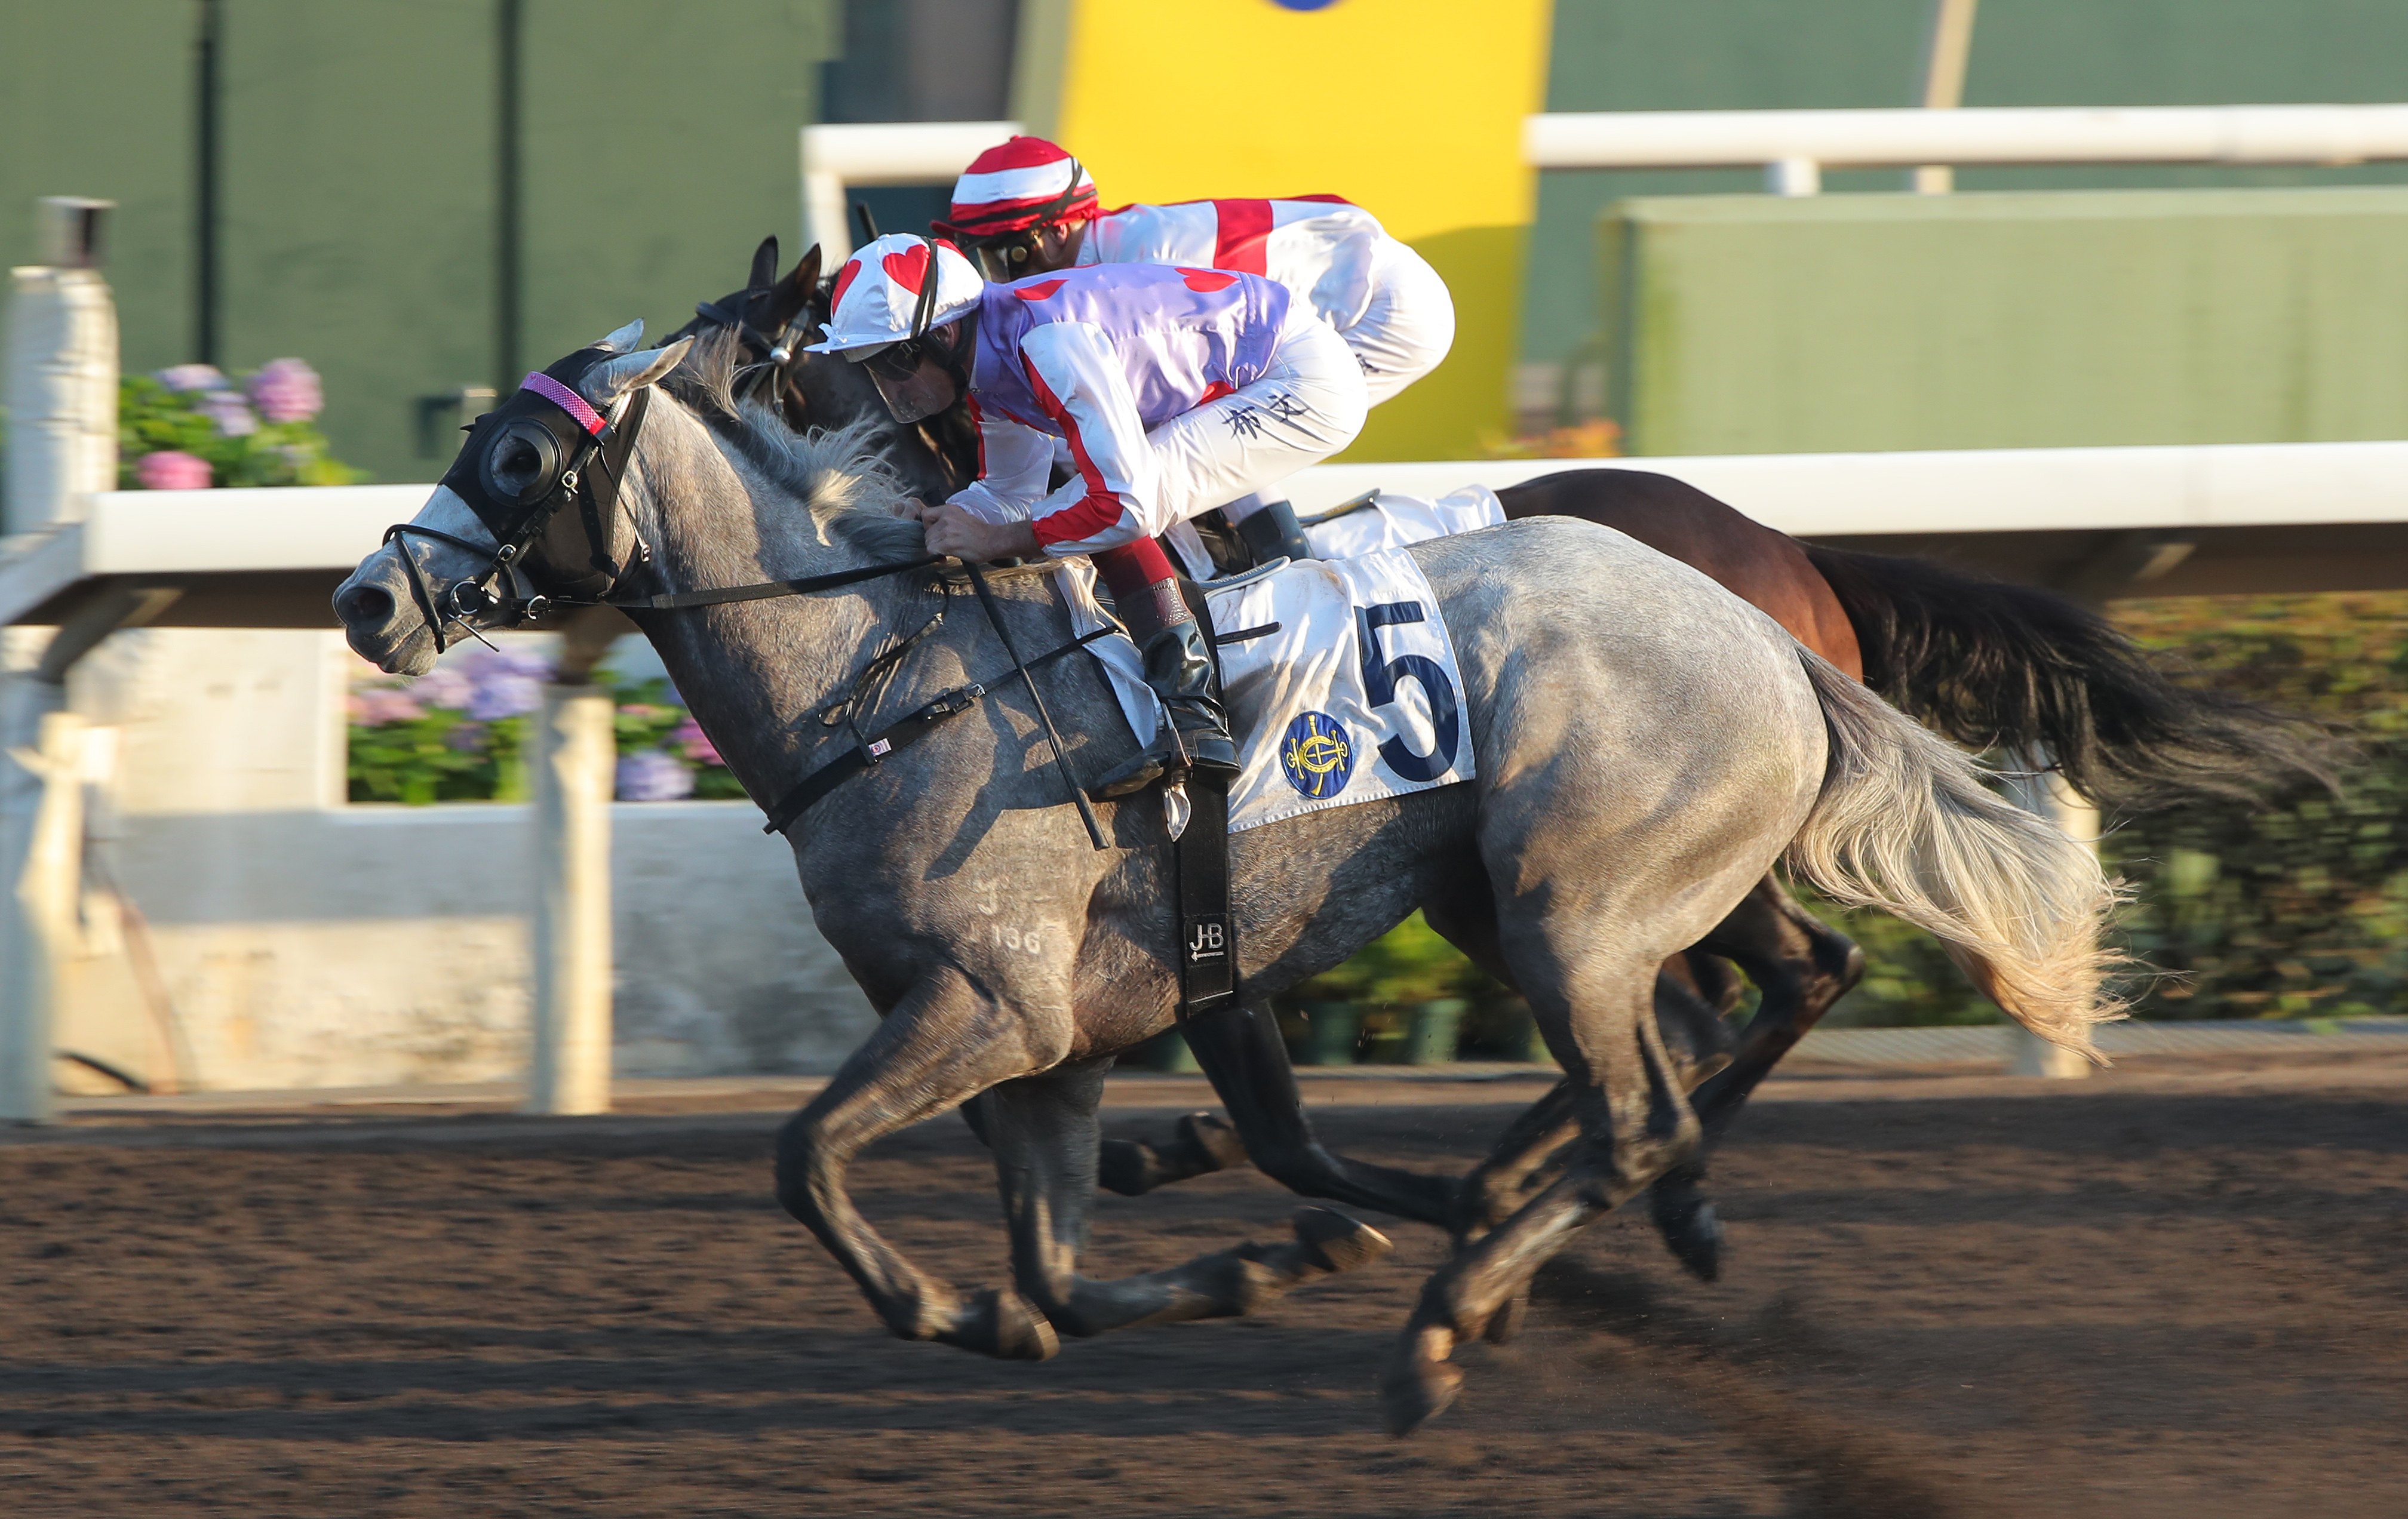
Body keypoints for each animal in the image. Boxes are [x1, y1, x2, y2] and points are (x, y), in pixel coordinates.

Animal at [330, 325, 2119, 1434]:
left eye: (512, 459)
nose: (364, 602)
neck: (887, 671)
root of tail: (1769, 618)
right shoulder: (1065, 1037)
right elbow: (1074, 1258)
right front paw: (1256, 1259)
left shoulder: (991, 1003)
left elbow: (808, 1159)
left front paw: (956, 1303)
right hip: (1527, 897)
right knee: (1736, 1021)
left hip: (1570, 907)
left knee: (1657, 1093)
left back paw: (1465, 1313)